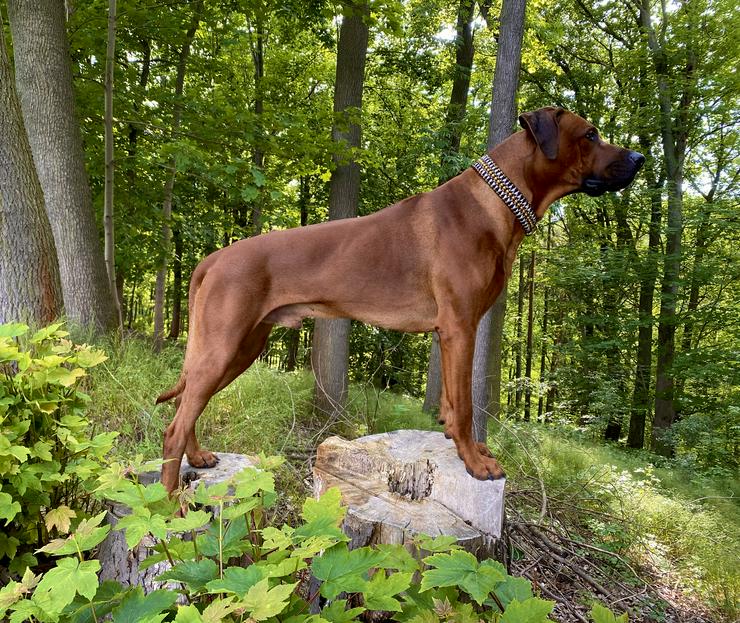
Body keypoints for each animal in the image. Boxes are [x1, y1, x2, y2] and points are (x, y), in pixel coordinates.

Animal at [156, 108, 640, 498]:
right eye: (591, 134)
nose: (639, 158)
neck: (494, 203)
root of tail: (214, 258)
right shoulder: (460, 326)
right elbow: (465, 406)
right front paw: (474, 462)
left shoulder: (450, 332)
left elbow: (450, 403)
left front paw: (461, 445)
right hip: (224, 346)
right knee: (175, 426)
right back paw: (170, 500)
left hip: (240, 348)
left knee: (188, 408)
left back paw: (197, 459)